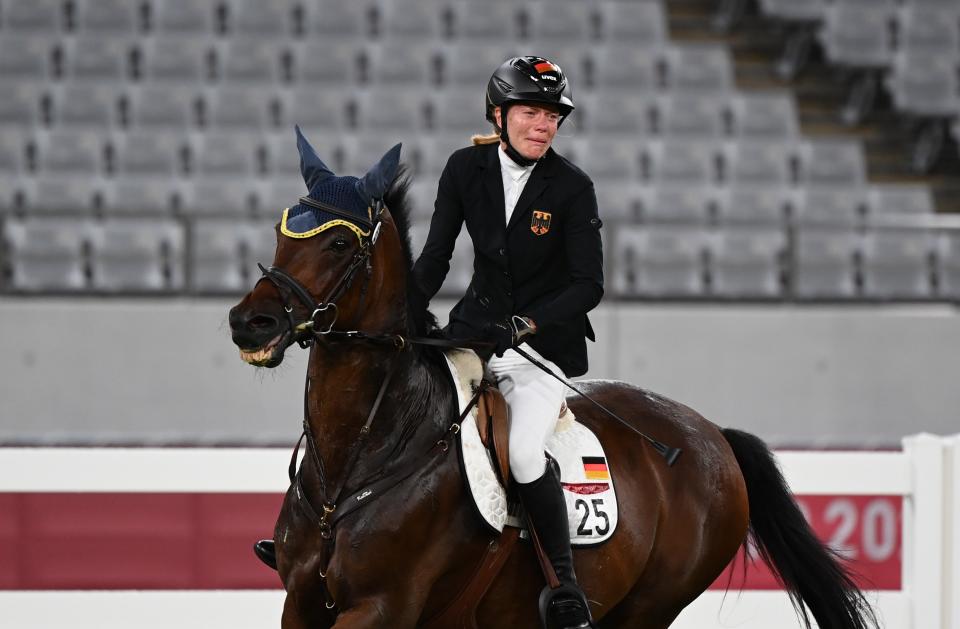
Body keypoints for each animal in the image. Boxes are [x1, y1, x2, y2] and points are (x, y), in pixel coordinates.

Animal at [227, 131, 876, 628]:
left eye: (340, 242)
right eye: (283, 235)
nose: (250, 324)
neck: (366, 448)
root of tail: (712, 435)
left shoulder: (381, 607)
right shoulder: (301, 604)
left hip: (647, 608)